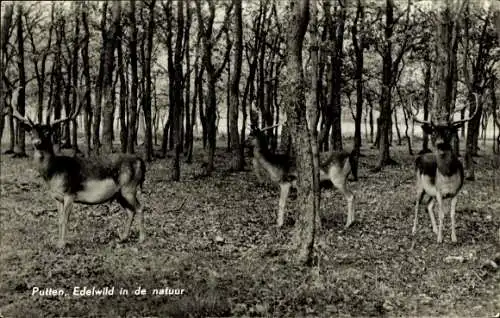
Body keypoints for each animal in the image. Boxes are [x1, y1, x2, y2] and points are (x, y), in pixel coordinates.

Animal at [10, 87, 146, 248]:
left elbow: (66, 220)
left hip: (129, 187)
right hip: (119, 193)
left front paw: (62, 244)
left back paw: (142, 238)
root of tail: (140, 161)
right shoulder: (57, 197)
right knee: (130, 211)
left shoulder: (70, 193)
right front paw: (57, 242)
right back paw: (123, 237)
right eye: (31, 131)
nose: (37, 142)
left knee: (140, 208)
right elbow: (59, 220)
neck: (53, 173)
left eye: (47, 131)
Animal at [410, 94, 480, 243]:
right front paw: (440, 239)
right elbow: (442, 214)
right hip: (419, 184)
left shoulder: (456, 191)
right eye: (434, 132)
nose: (440, 144)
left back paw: (435, 229)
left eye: (448, 131)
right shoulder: (439, 191)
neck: (447, 175)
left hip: (431, 191)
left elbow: (452, 214)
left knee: (428, 205)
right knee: (418, 204)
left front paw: (454, 238)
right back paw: (414, 230)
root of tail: (419, 157)